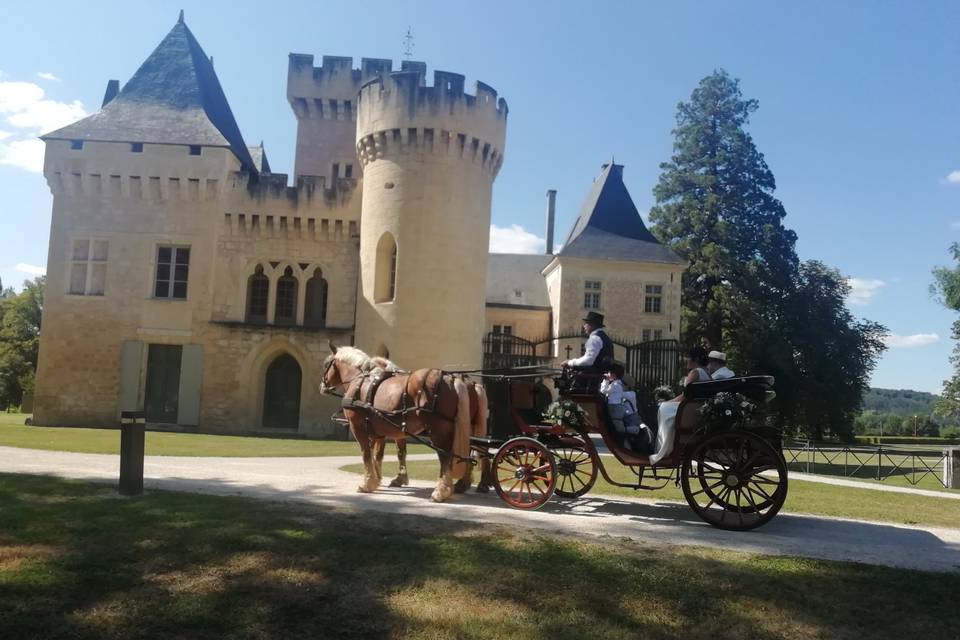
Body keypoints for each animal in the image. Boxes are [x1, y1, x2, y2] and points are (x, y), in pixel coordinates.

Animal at [320, 342, 488, 502]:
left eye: (326, 364)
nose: (322, 386)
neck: (362, 381)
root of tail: (452, 379)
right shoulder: (382, 431)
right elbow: (383, 454)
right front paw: (379, 479)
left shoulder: (360, 428)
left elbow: (366, 454)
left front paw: (368, 483)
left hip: (440, 430)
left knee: (445, 457)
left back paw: (441, 492)